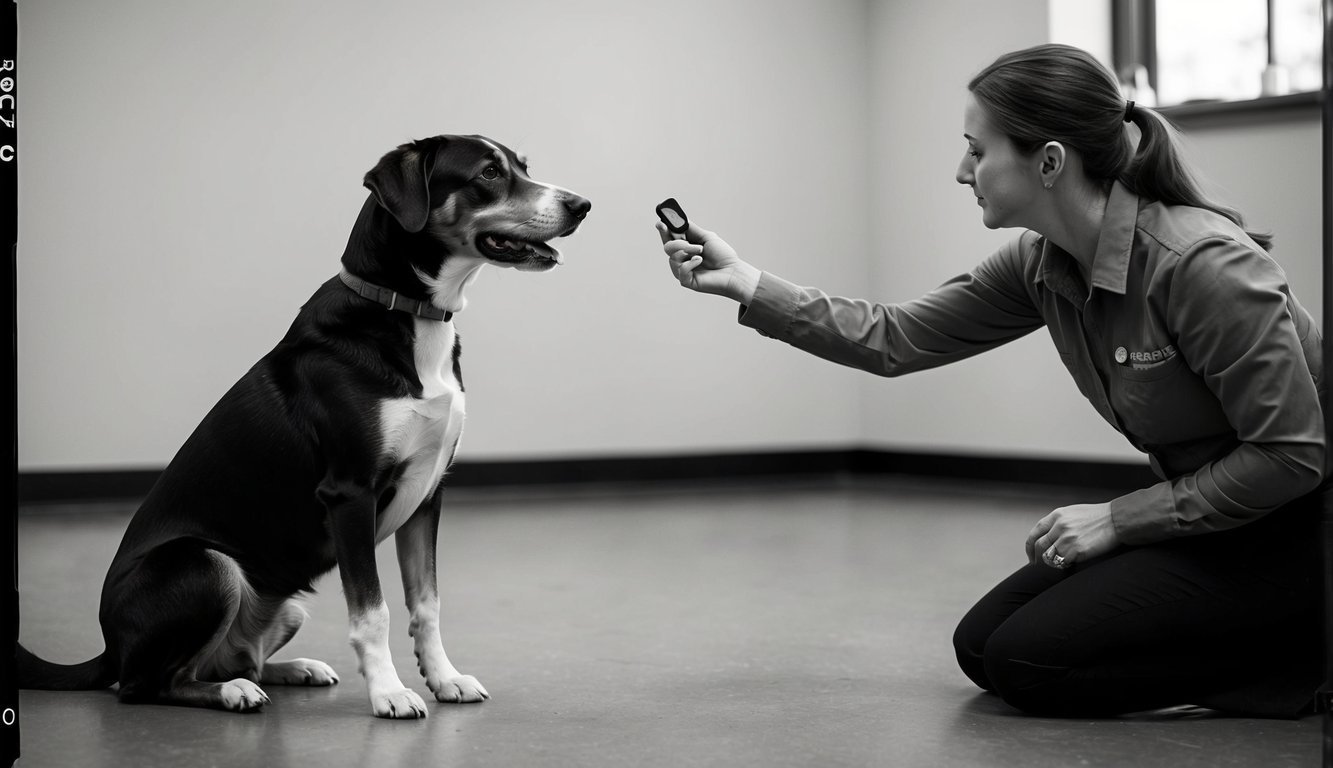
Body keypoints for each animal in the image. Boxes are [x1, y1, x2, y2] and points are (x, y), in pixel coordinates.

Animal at [18, 134, 591, 714]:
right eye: (489, 173)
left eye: (522, 166)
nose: (582, 205)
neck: (407, 315)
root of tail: (109, 648)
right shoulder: (351, 492)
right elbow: (374, 612)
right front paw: (390, 692)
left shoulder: (428, 494)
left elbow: (426, 604)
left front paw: (445, 677)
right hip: (209, 566)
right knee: (149, 685)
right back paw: (231, 693)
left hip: (285, 604)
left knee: (237, 658)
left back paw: (293, 669)